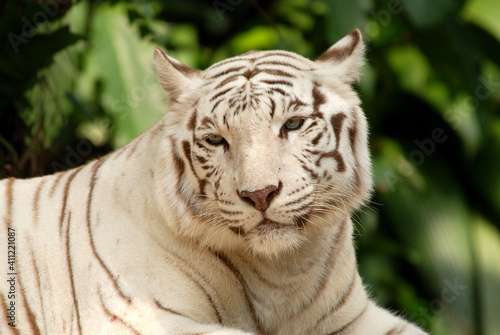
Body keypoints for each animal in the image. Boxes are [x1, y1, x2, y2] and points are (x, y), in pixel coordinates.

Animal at [0, 30, 426, 334]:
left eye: (292, 124)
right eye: (217, 140)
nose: (260, 195)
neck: (284, 271)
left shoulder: (351, 316)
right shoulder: (129, 317)